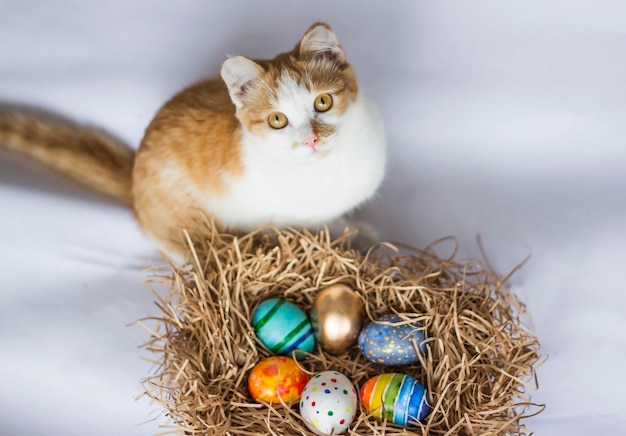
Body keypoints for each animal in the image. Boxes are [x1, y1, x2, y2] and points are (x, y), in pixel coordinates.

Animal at [0, 23, 382, 262]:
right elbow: (315, 225)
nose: (311, 139)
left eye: (323, 102)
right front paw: (346, 237)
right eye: (277, 120)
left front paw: (359, 232)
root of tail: (134, 185)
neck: (327, 169)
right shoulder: (281, 215)